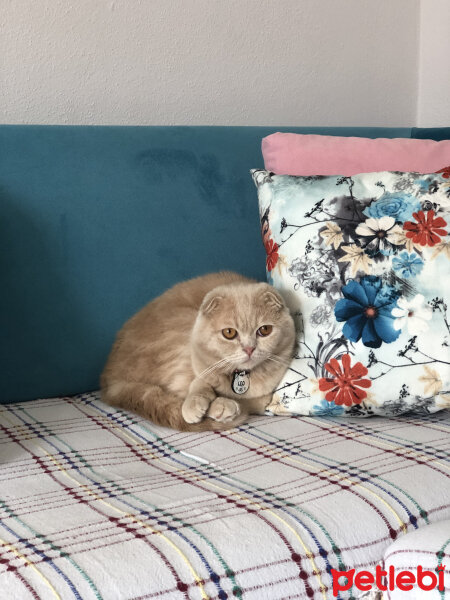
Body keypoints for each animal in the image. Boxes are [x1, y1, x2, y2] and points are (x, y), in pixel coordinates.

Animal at [102, 272, 298, 432]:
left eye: (264, 330)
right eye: (229, 333)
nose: (249, 348)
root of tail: (111, 379)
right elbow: (199, 383)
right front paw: (201, 403)